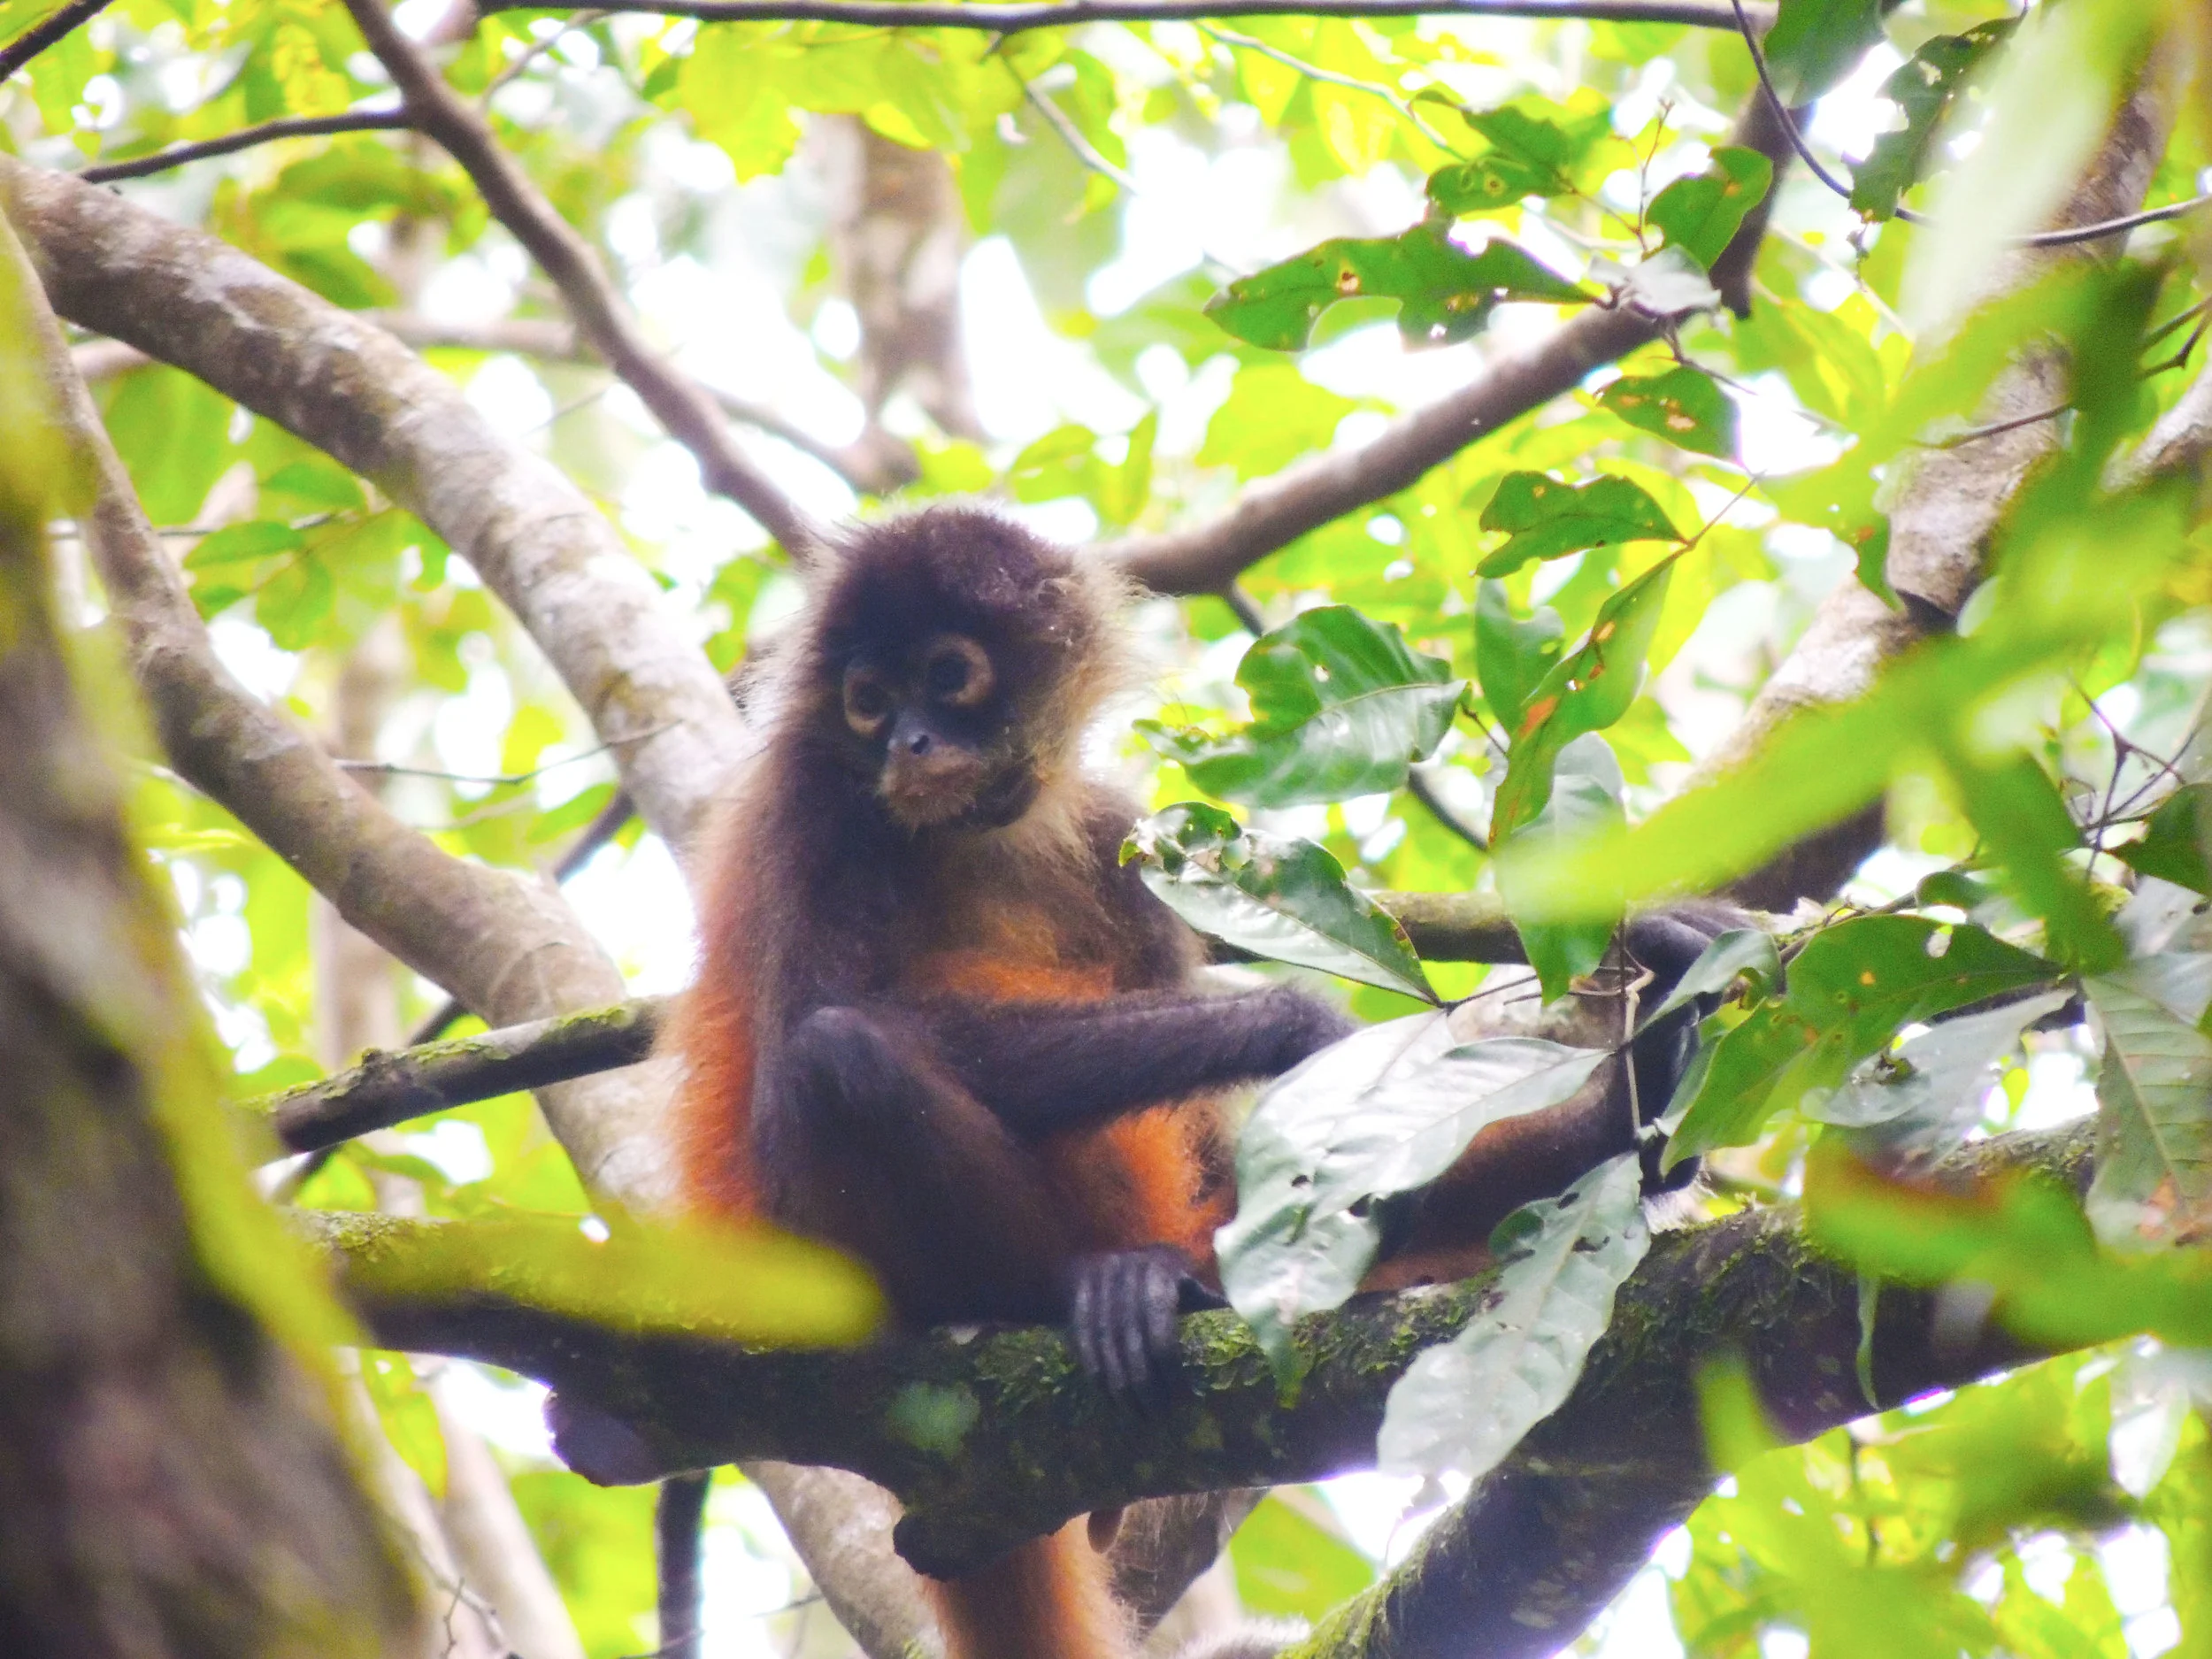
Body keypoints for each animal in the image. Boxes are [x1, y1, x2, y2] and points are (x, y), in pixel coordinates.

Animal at [658, 503, 1740, 1659]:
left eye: (946, 677)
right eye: (867, 702)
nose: (908, 742)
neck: (981, 831)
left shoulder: (1113, 838)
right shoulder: (813, 804)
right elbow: (811, 1033)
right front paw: (1298, 1027)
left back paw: (1621, 1129)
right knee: (838, 1055)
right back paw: (1076, 1293)